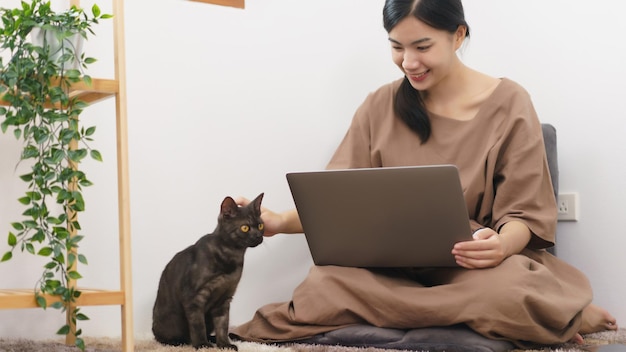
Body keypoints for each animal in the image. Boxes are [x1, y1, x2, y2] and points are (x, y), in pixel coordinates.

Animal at [154, 194, 266, 350]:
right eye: (245, 227)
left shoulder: (224, 299)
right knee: (162, 337)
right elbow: (198, 325)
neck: (232, 255)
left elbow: (223, 325)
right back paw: (178, 341)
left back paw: (212, 338)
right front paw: (202, 345)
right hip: (170, 322)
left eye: (261, 225)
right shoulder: (194, 298)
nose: (258, 236)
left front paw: (224, 344)